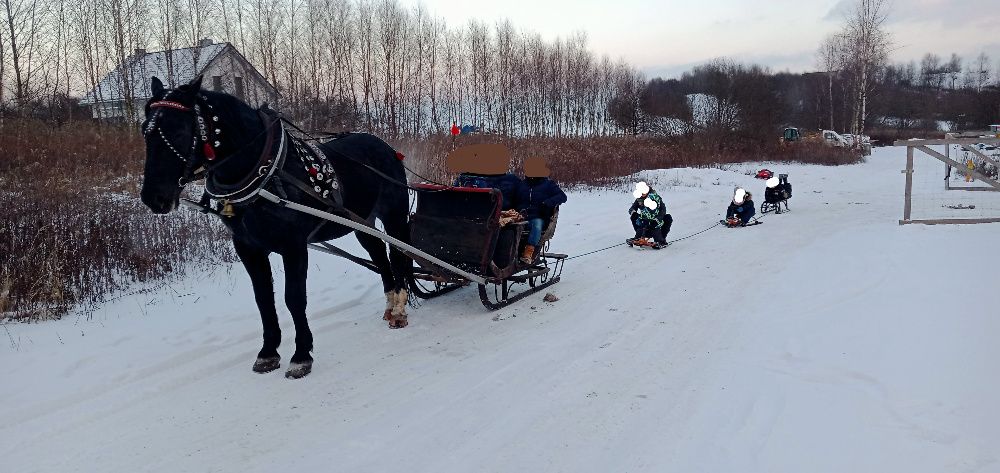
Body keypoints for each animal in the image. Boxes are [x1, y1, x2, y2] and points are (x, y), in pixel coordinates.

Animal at [139, 76, 412, 380]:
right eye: (144, 130)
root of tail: (385, 146)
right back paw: (390, 305)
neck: (264, 175)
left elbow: (294, 298)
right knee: (379, 255)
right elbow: (263, 300)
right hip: (362, 221)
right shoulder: (248, 247)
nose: (153, 197)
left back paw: (400, 309)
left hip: (394, 214)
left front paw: (301, 355)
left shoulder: (294, 246)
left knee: (399, 254)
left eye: (178, 130)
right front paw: (268, 352)